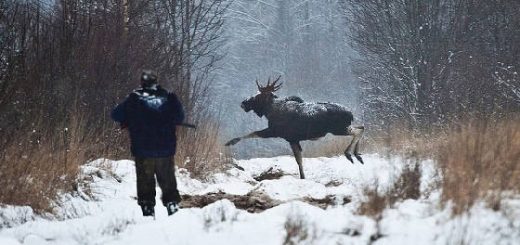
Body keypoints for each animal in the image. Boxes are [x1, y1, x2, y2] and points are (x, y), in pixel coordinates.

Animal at [224, 75, 366, 179]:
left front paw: (230, 142)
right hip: (343, 127)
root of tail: (350, 113)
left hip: (339, 129)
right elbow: (299, 160)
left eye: (259, 95)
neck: (270, 112)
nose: (243, 103)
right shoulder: (293, 139)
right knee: (362, 127)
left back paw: (349, 153)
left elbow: (252, 133)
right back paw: (357, 155)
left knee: (358, 131)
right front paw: (303, 177)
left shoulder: (277, 132)